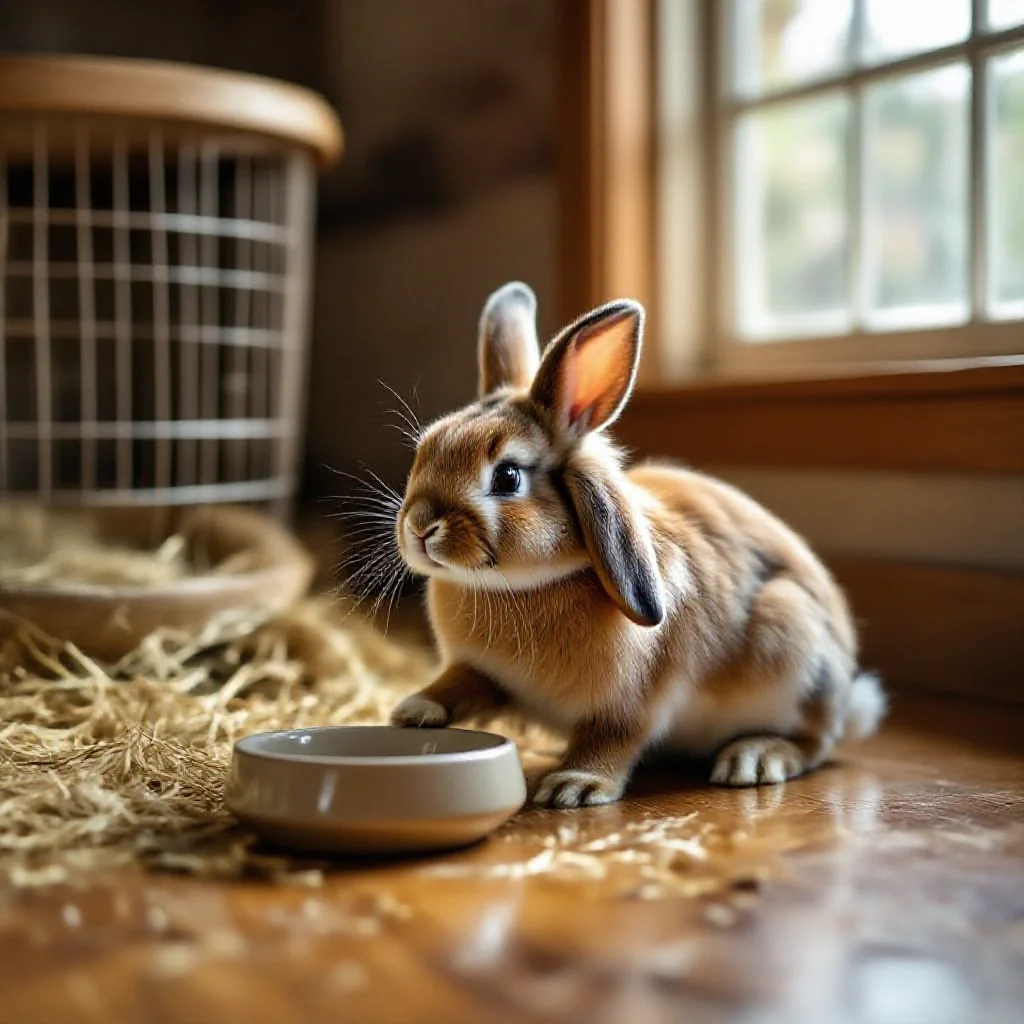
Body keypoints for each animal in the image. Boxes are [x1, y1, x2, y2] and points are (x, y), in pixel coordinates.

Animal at [388, 281, 886, 808]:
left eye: (507, 477)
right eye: (425, 449)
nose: (420, 526)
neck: (524, 585)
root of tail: (846, 701)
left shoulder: (635, 699)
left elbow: (614, 738)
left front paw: (575, 785)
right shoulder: (485, 673)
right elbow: (459, 684)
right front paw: (413, 710)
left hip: (793, 643)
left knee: (813, 742)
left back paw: (755, 757)